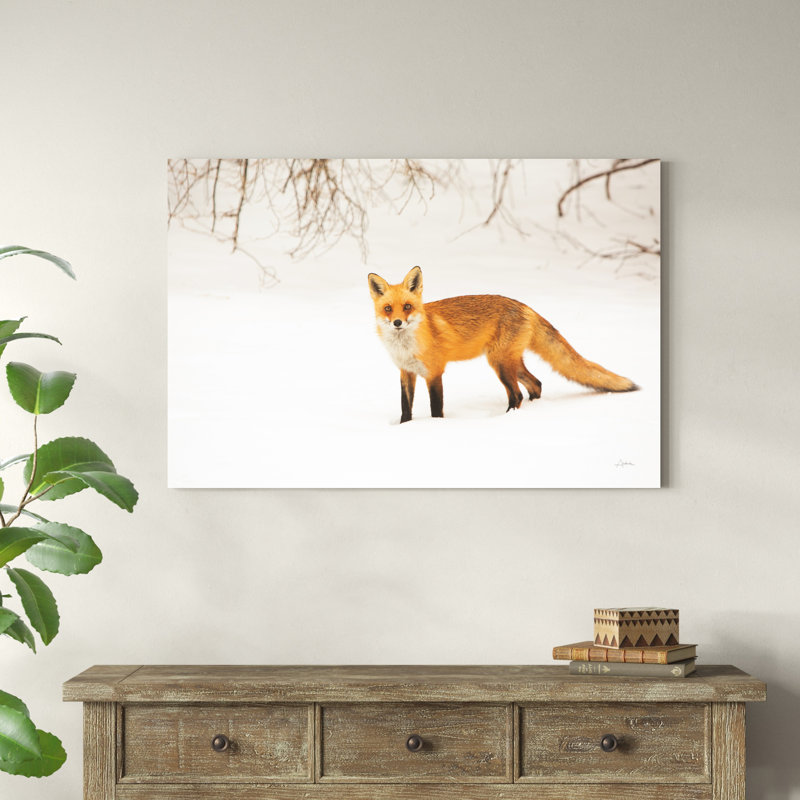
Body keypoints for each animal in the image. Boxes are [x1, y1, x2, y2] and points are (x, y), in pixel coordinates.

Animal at [368, 266, 638, 423]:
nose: (398, 323)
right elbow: (405, 408)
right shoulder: (406, 373)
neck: (405, 347)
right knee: (536, 384)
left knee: (516, 394)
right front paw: (405, 428)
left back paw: (504, 421)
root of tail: (525, 306)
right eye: (388, 309)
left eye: (408, 306)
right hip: (510, 362)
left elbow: (436, 408)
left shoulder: (434, 372)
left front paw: (435, 428)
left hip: (499, 363)